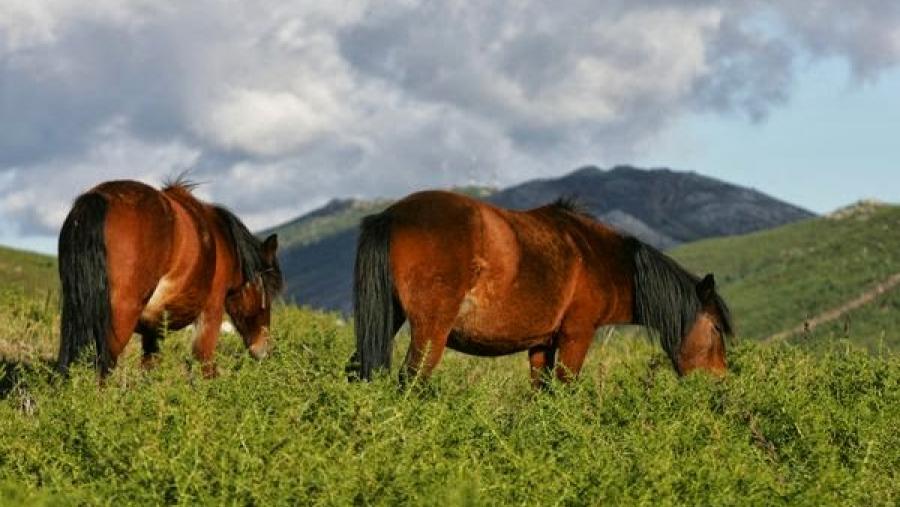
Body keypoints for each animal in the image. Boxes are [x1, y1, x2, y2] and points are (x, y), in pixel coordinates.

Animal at [57, 178, 283, 378]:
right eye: (267, 292)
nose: (264, 349)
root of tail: (98, 198)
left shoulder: (152, 331)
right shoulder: (211, 313)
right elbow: (205, 366)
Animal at [352, 190, 733, 387]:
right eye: (715, 328)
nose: (720, 382)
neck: (598, 257)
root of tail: (392, 215)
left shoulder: (540, 345)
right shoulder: (576, 336)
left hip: (388, 322)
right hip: (431, 332)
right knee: (411, 381)